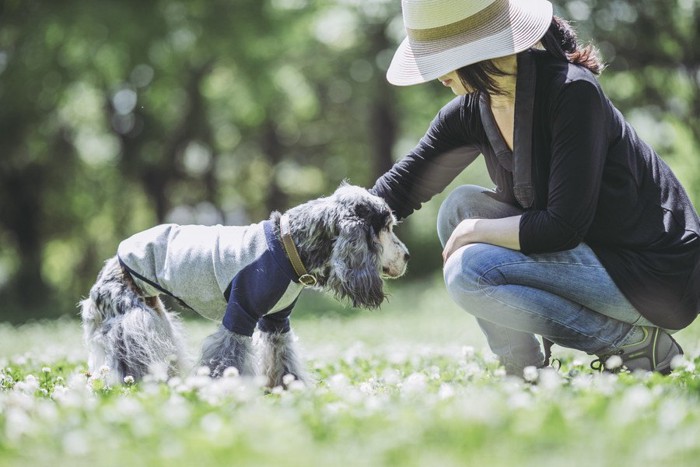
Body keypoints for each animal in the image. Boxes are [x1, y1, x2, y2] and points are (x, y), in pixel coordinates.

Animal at [80, 185, 410, 390]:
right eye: (386, 227)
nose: (407, 256)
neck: (290, 247)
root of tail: (110, 266)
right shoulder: (239, 315)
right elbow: (226, 360)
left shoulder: (276, 321)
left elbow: (282, 359)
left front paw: (288, 390)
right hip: (133, 323)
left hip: (156, 318)